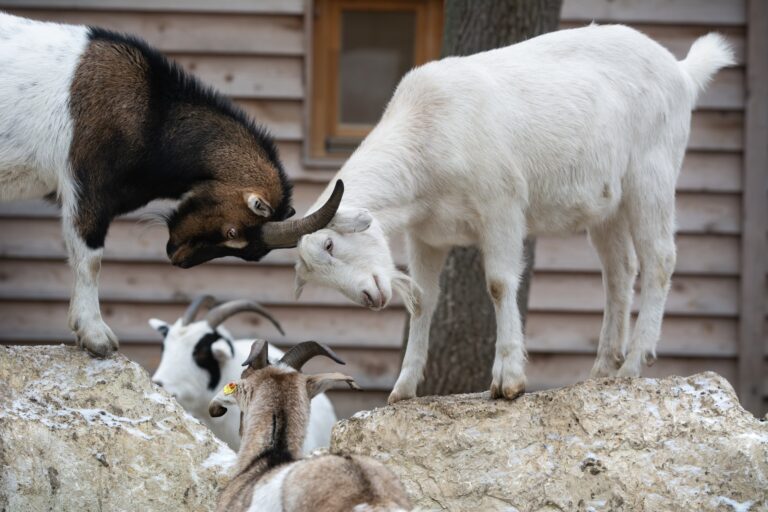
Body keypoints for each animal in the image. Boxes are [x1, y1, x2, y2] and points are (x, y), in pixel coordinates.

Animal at [0, 12, 343, 358]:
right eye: (232, 232)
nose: (179, 259)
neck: (153, 113)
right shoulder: (87, 185)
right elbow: (90, 258)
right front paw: (96, 337)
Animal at [291, 25, 735, 403]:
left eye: (330, 243)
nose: (370, 298)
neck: (426, 131)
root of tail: (681, 71)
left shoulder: (500, 206)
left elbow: (500, 284)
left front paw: (507, 380)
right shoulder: (426, 234)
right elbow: (422, 300)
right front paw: (403, 388)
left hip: (652, 175)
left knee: (659, 258)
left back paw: (633, 364)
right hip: (607, 203)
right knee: (620, 271)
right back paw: (601, 371)